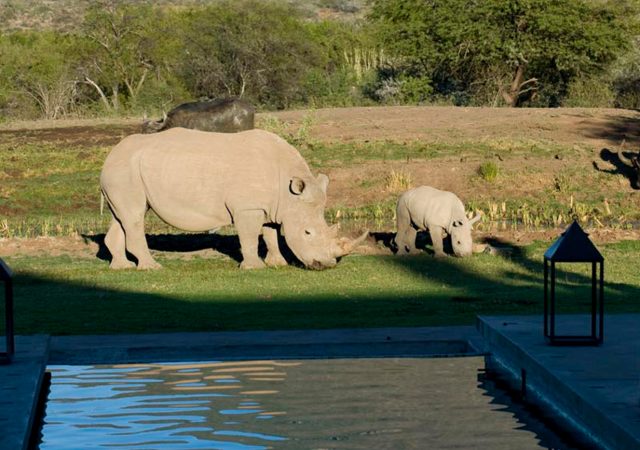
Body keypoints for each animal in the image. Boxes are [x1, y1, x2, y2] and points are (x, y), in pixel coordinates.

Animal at [100, 127, 367, 270]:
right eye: (308, 233)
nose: (326, 265)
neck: (288, 190)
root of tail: (110, 154)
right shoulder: (248, 208)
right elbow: (249, 236)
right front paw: (254, 268)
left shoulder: (271, 206)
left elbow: (270, 234)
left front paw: (277, 264)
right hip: (125, 171)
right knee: (134, 217)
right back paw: (152, 267)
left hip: (124, 172)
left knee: (124, 217)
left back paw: (122, 268)